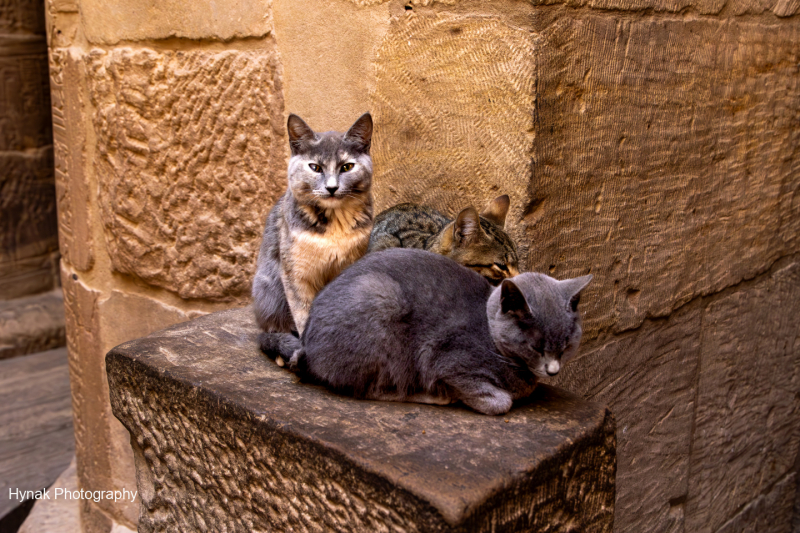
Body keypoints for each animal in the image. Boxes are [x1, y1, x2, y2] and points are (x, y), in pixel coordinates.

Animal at [252, 112, 374, 340]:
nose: (332, 187)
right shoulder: (296, 273)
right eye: (315, 167)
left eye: (347, 166)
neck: (335, 225)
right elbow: (303, 314)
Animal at [284, 247, 592, 414]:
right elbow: (500, 402)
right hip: (382, 307)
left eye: (566, 346)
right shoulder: (448, 359)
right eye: (536, 347)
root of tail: (306, 344)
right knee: (370, 389)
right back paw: (434, 396)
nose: (553, 371)